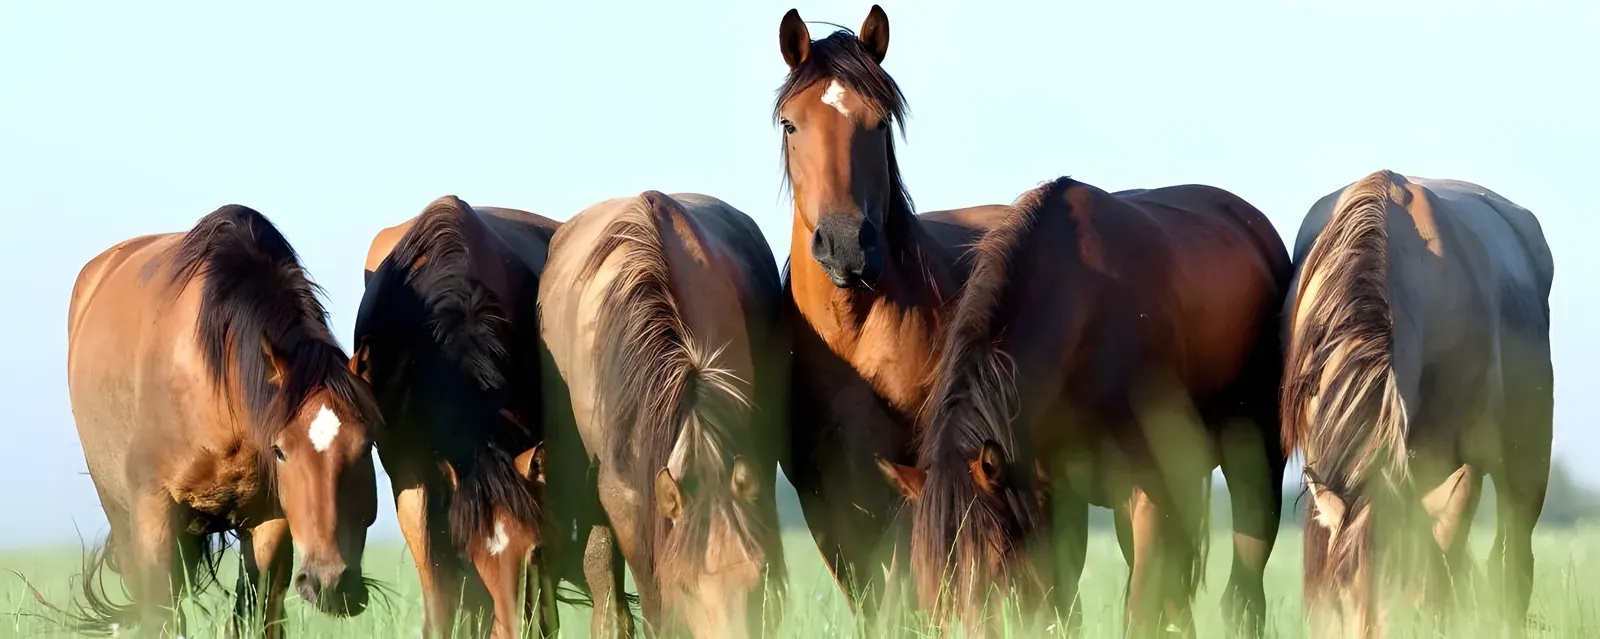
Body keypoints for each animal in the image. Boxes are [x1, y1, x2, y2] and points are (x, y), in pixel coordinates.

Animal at [65, 205, 382, 637]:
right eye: (280, 451)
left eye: (367, 446)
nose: (331, 584)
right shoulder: (153, 510)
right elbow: (161, 614)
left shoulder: (270, 520)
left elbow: (256, 613)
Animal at [877, 177, 1292, 637]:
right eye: (930, 583)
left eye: (994, 567)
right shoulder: (1050, 496)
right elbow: (1064, 606)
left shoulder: (1147, 492)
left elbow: (1140, 610)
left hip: (1255, 465)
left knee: (1243, 588)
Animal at [1281, 171, 1554, 638]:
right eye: (1344, 598)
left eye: (1409, 616)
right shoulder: (1324, 459)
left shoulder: (1461, 464)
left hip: (1526, 466)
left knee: (1512, 563)